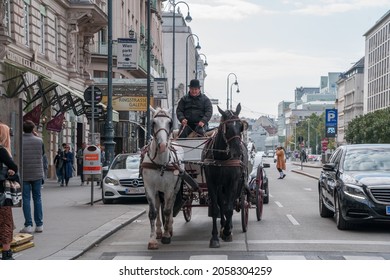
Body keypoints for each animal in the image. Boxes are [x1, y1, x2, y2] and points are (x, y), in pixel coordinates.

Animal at [140, 107, 184, 249]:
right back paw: (159, 231)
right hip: (158, 190)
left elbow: (167, 210)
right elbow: (153, 212)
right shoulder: (149, 187)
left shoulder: (170, 188)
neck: (160, 163)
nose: (163, 145)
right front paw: (153, 240)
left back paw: (169, 229)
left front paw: (166, 236)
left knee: (169, 205)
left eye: (169, 123)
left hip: (174, 188)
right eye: (153, 123)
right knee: (159, 204)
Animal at [203, 103, 248, 247]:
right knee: (221, 203)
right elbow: (216, 208)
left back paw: (228, 226)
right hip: (220, 186)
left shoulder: (233, 182)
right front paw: (215, 237)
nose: (238, 152)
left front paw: (227, 232)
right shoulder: (212, 182)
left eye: (240, 126)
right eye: (227, 127)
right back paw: (223, 225)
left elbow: (229, 208)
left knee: (230, 203)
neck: (222, 157)